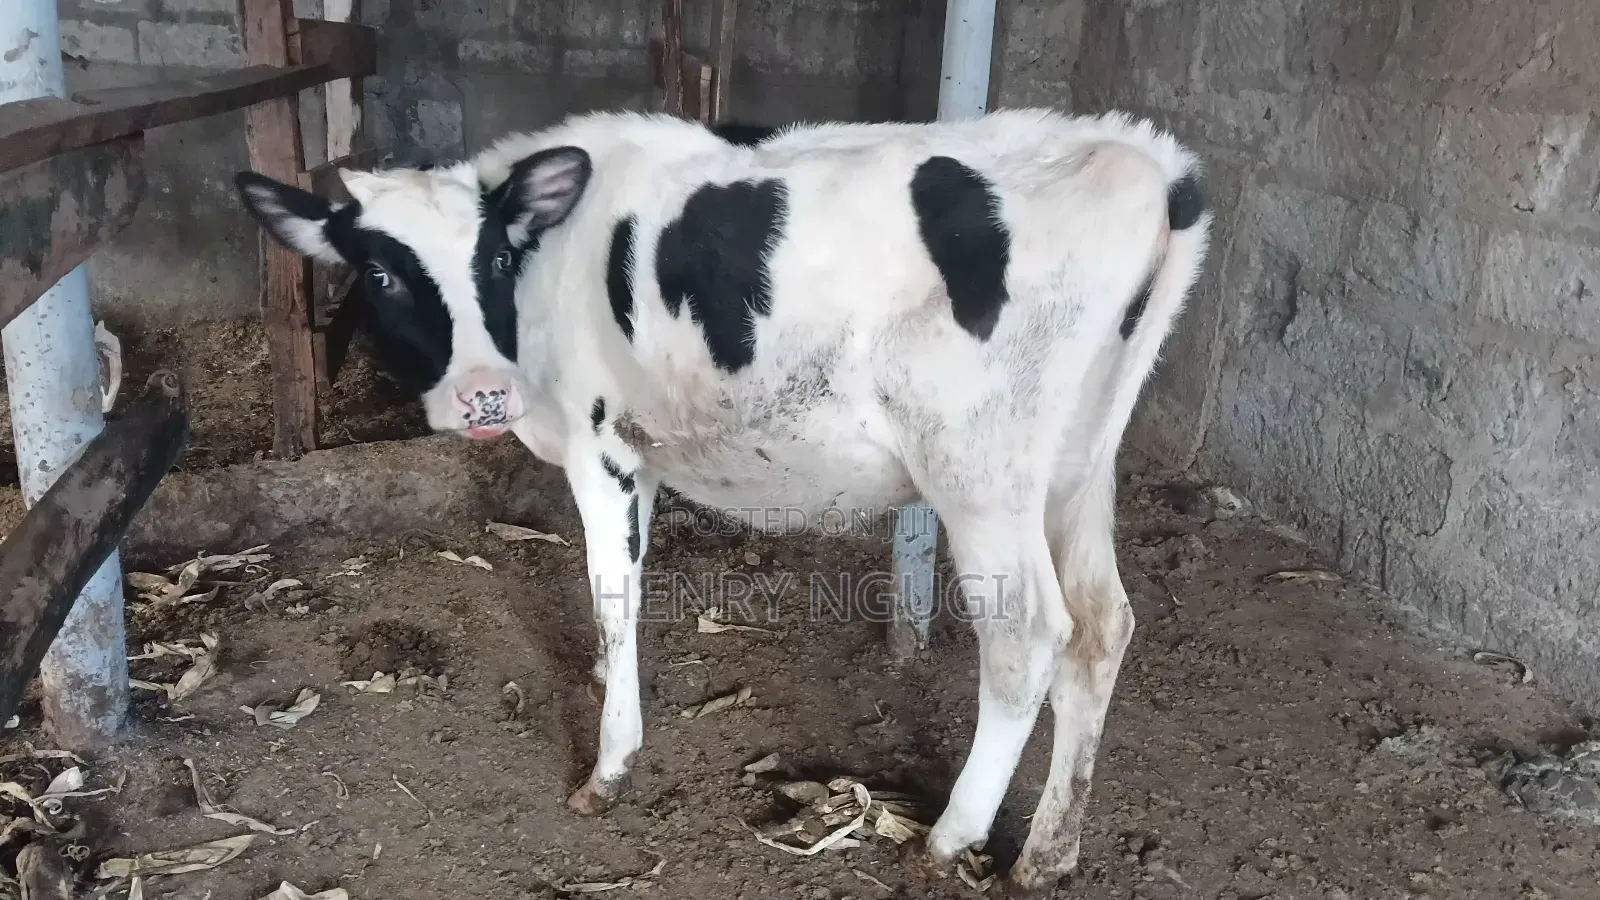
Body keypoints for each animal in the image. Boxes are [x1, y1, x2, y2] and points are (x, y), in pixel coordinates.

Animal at [233, 107, 1210, 894]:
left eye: (497, 255)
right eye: (381, 274)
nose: (483, 396)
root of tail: (1146, 159)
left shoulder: (598, 444)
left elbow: (611, 593)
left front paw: (610, 764)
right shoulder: (641, 451)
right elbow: (626, 590)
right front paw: (607, 682)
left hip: (980, 470)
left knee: (1028, 635)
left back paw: (952, 835)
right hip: (1078, 462)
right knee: (1101, 626)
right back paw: (1049, 851)